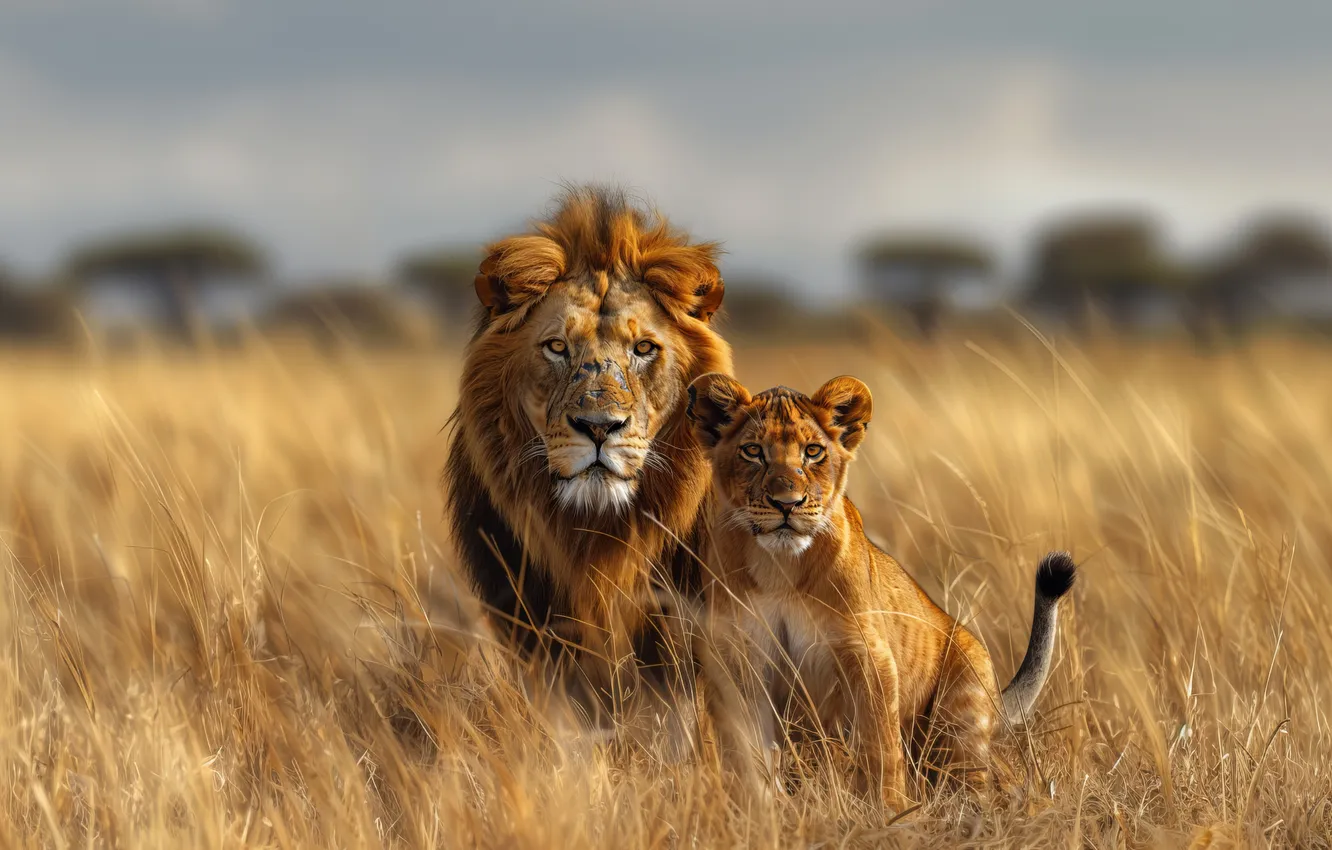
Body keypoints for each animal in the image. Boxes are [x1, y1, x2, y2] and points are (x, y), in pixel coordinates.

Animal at [685, 372, 1077, 807]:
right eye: (753, 451)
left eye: (813, 451)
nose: (787, 503)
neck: (780, 570)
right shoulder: (738, 658)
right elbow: (746, 750)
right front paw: (756, 807)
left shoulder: (868, 654)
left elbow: (879, 745)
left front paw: (890, 810)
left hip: (963, 701)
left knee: (977, 776)